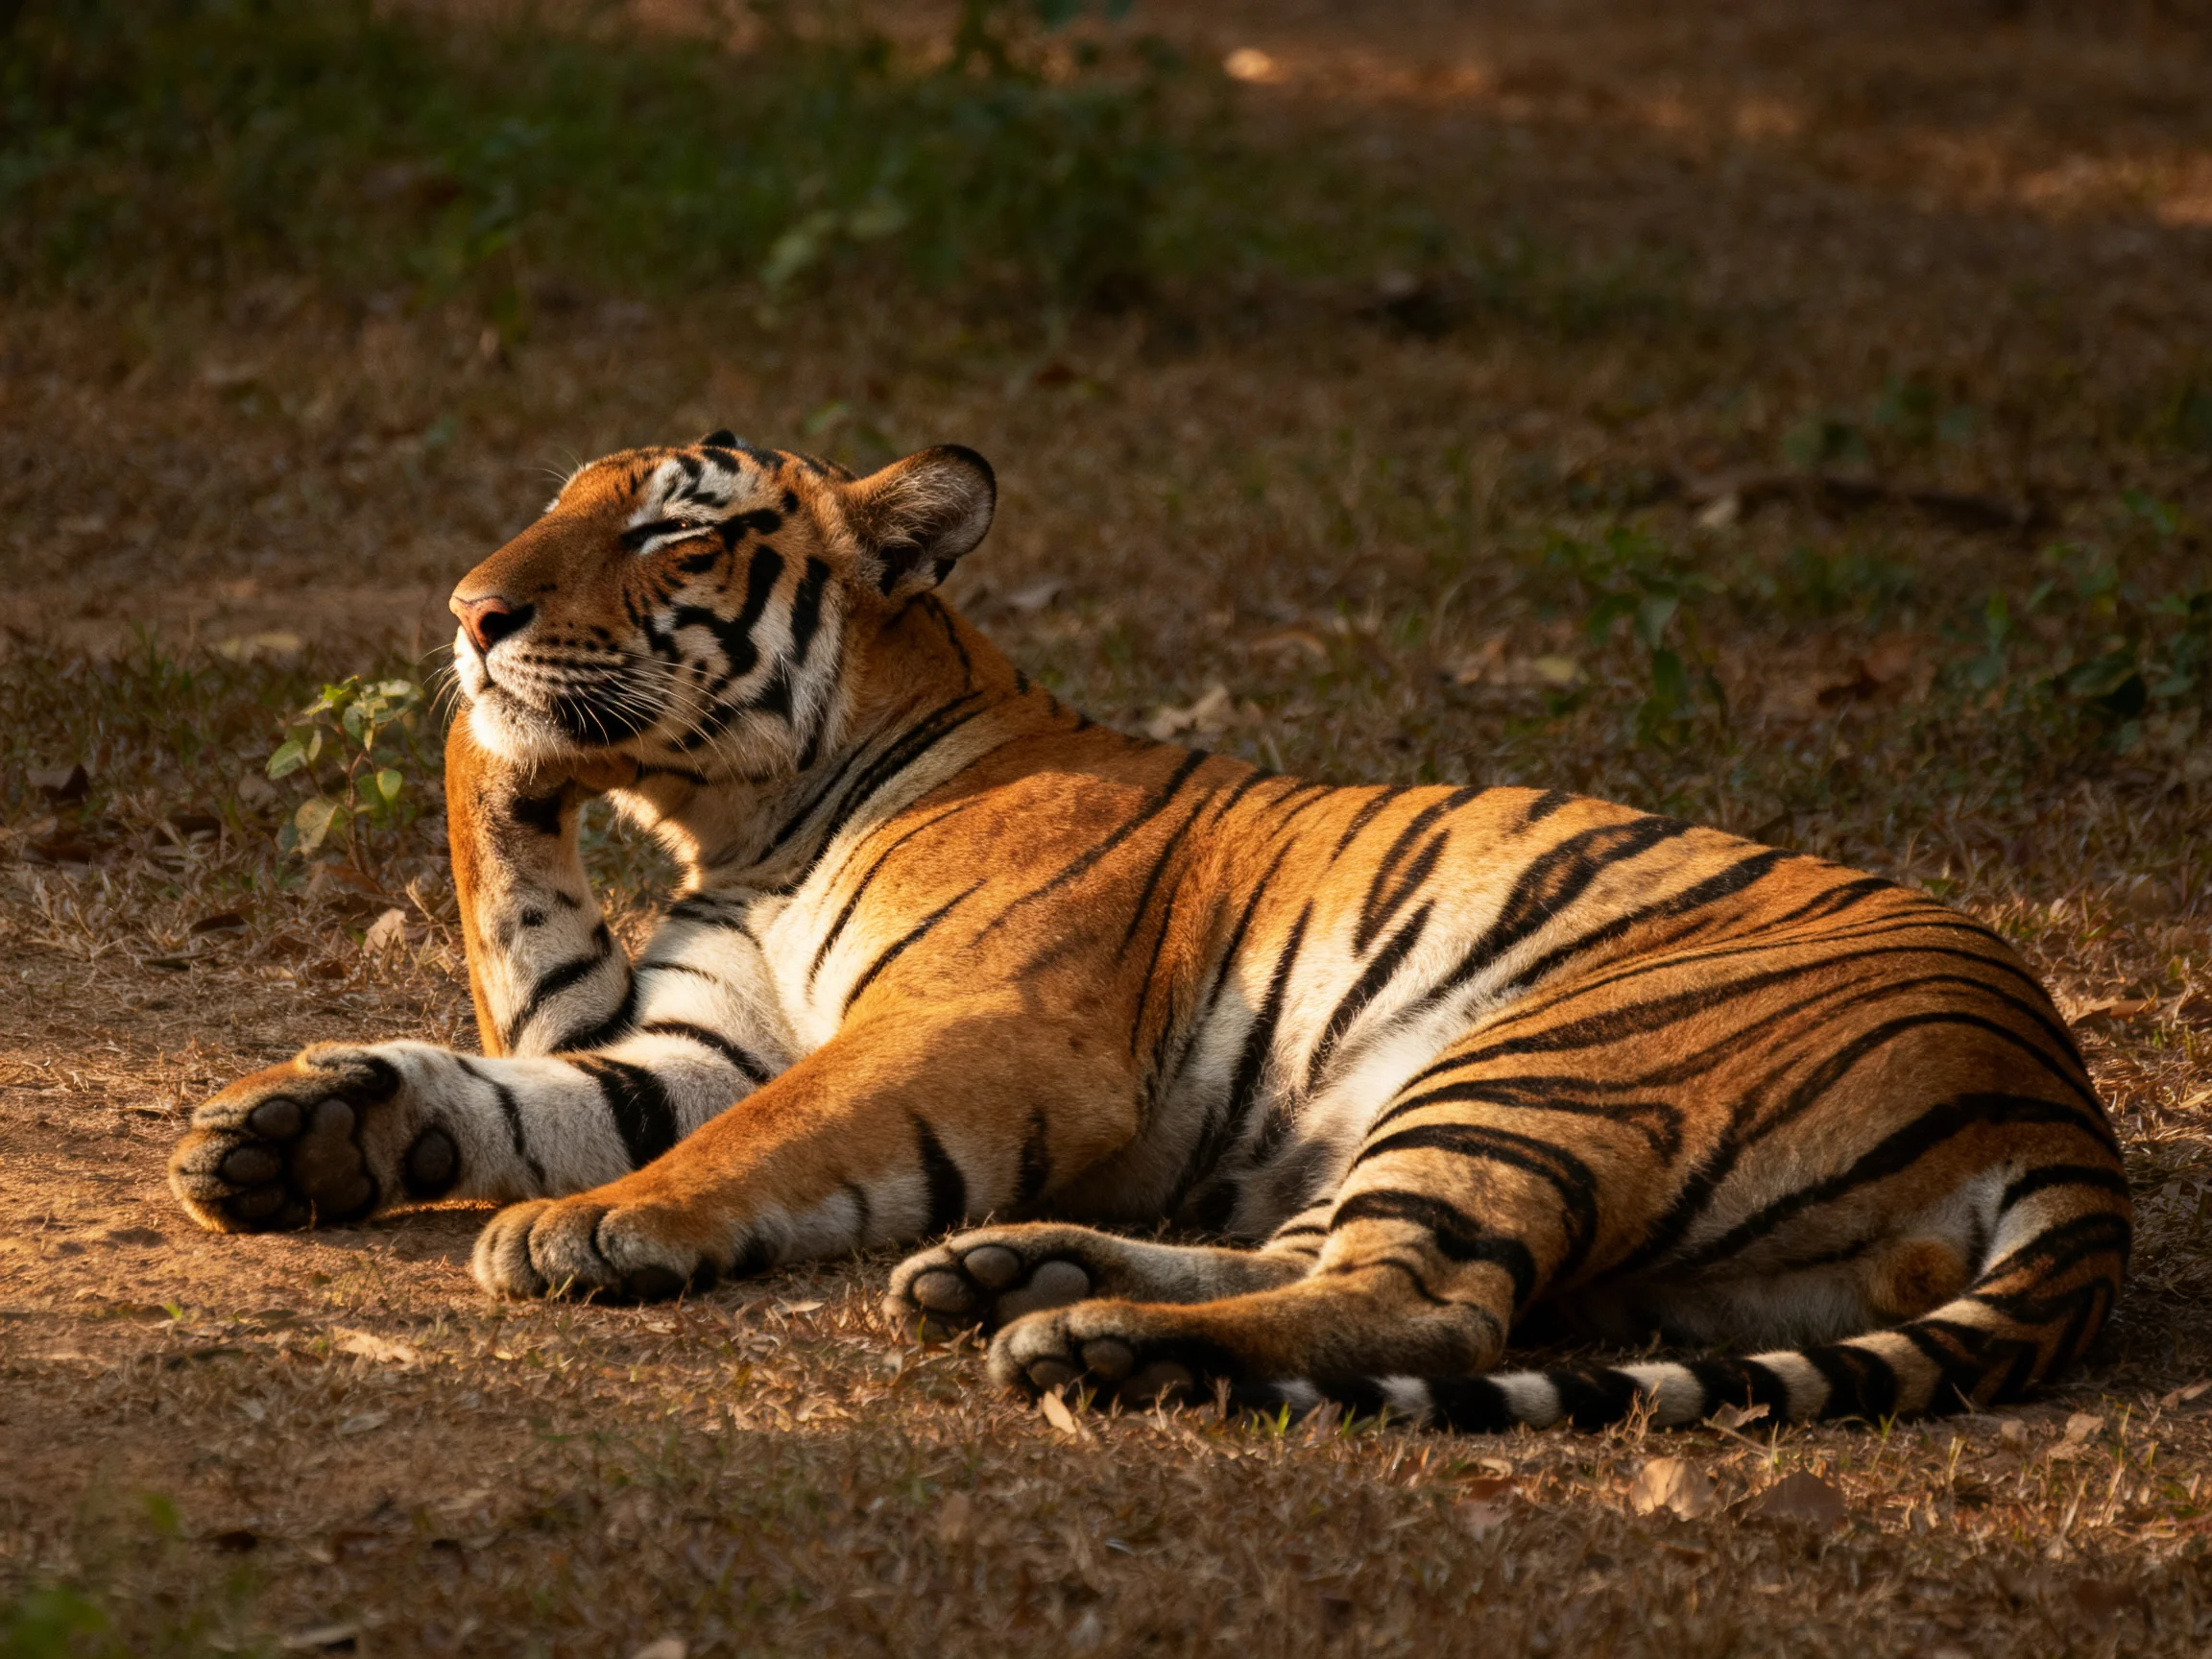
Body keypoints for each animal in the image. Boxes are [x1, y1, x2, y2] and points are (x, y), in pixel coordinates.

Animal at [168, 431, 2129, 1432]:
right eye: (557, 506)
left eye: (669, 530)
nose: (471, 610)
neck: (748, 817)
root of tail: (2059, 1102)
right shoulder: (672, 1037)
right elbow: (514, 1066)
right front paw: (287, 1130)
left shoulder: (977, 1023)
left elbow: (760, 1134)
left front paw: (583, 1226)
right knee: (1351, 1260)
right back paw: (1014, 1280)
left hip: (1555, 1061)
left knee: (1431, 1306)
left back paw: (1083, 1346)